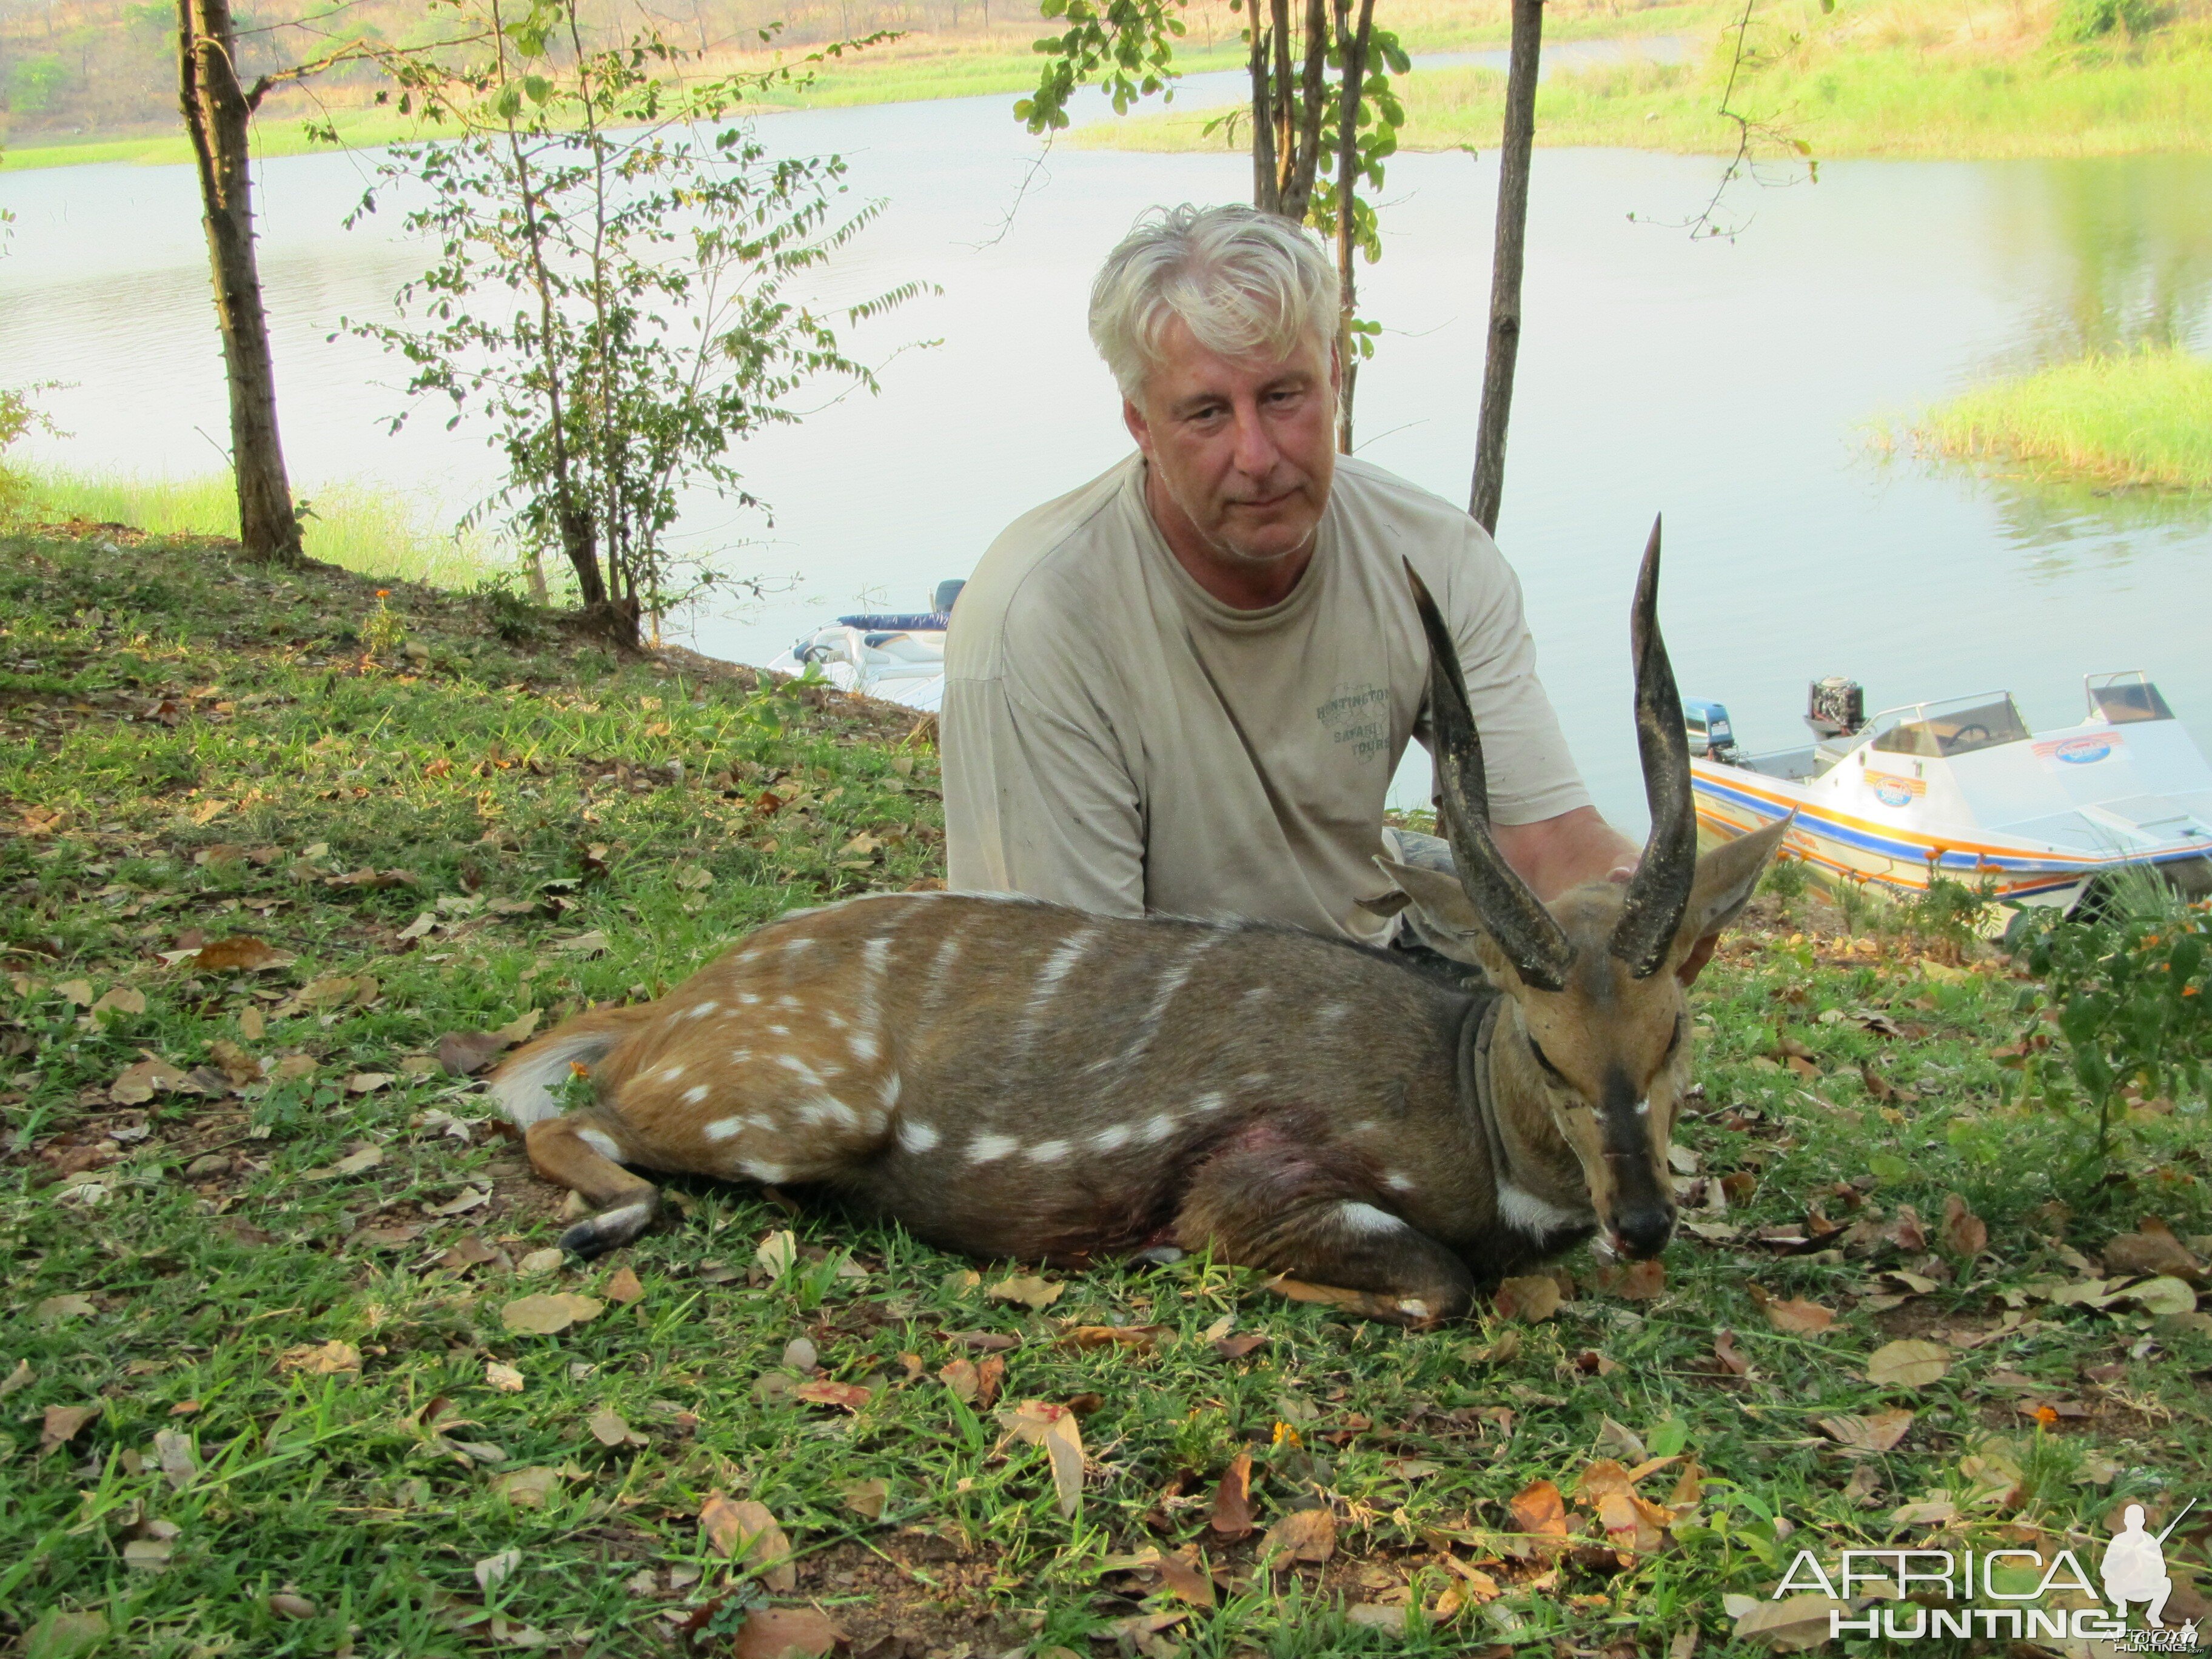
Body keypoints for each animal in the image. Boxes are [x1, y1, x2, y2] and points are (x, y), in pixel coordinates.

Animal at [493, 526, 1787, 1318]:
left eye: (1674, 1029)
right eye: (1538, 1040)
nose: (1643, 1222)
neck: (1463, 1121)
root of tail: (661, 1013)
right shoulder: (1262, 1178)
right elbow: (1434, 1282)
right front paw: (1174, 1254)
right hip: (801, 1107)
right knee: (577, 1120)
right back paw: (601, 1224)